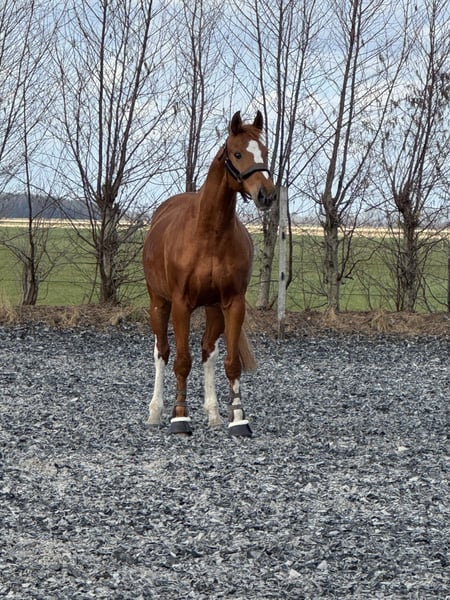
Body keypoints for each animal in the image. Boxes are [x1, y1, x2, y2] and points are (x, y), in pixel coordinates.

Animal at [142, 110, 276, 436]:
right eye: (237, 153)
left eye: (265, 152)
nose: (266, 195)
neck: (210, 234)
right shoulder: (181, 305)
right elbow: (181, 361)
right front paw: (179, 418)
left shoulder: (232, 303)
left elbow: (230, 363)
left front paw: (238, 419)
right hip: (159, 303)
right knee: (162, 351)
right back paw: (155, 412)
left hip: (214, 310)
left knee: (208, 353)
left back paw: (214, 413)